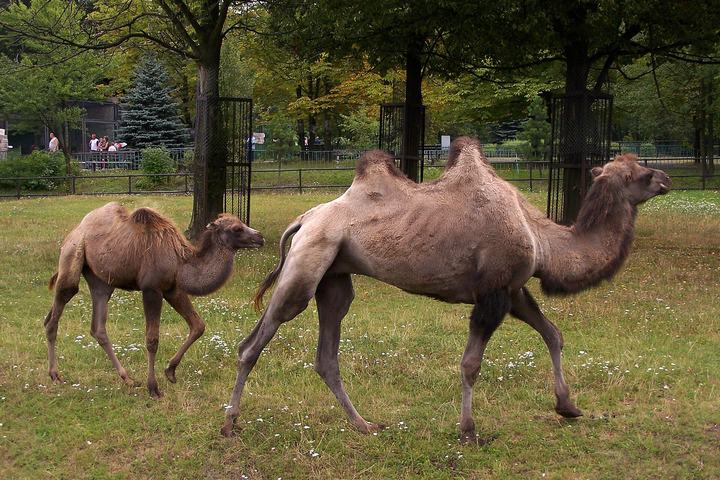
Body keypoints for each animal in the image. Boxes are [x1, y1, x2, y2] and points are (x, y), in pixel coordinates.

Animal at [45, 202, 264, 397]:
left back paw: (128, 379)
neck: (180, 261)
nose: (260, 237)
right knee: (56, 311)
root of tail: (76, 229)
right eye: (237, 228)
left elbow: (198, 325)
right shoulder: (152, 289)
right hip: (72, 256)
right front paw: (154, 388)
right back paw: (55, 375)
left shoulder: (173, 289)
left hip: (101, 281)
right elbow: (152, 339)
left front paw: (170, 371)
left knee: (98, 326)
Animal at [220, 137, 671, 441]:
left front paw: (569, 406)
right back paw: (229, 424)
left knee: (326, 355)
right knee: (252, 343)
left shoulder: (512, 289)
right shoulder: (493, 293)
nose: (666, 177)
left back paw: (364, 424)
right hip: (306, 265)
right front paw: (468, 430)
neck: (541, 239)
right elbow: (471, 363)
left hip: (334, 280)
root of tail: (303, 219)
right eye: (640, 174)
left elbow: (553, 334)